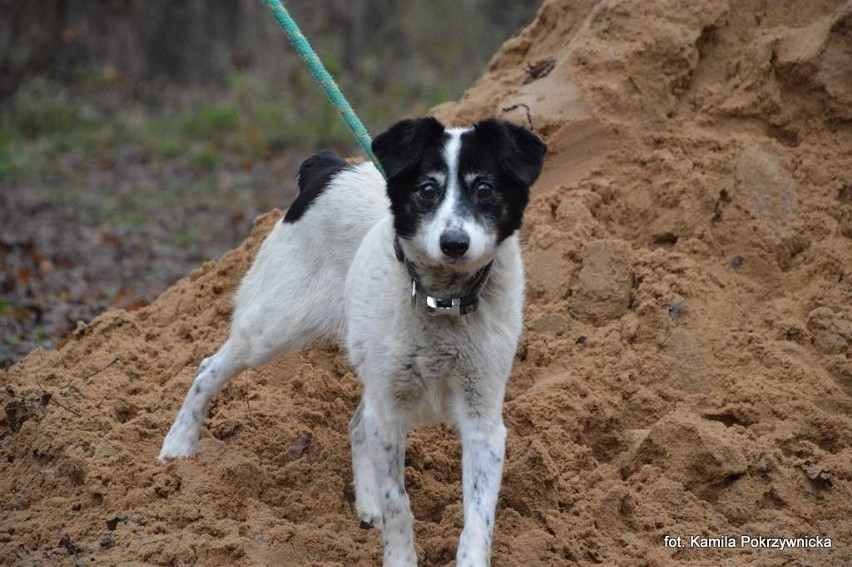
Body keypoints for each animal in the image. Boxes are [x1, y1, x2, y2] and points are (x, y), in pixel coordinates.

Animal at [159, 117, 544, 564]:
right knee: (208, 368)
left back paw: (367, 503)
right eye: (427, 190)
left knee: (358, 424)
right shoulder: (390, 413)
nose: (454, 243)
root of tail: (329, 168)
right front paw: (400, 558)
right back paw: (178, 445)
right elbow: (400, 505)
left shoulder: (482, 420)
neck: (443, 302)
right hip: (271, 329)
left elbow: (478, 519)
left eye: (484, 189)